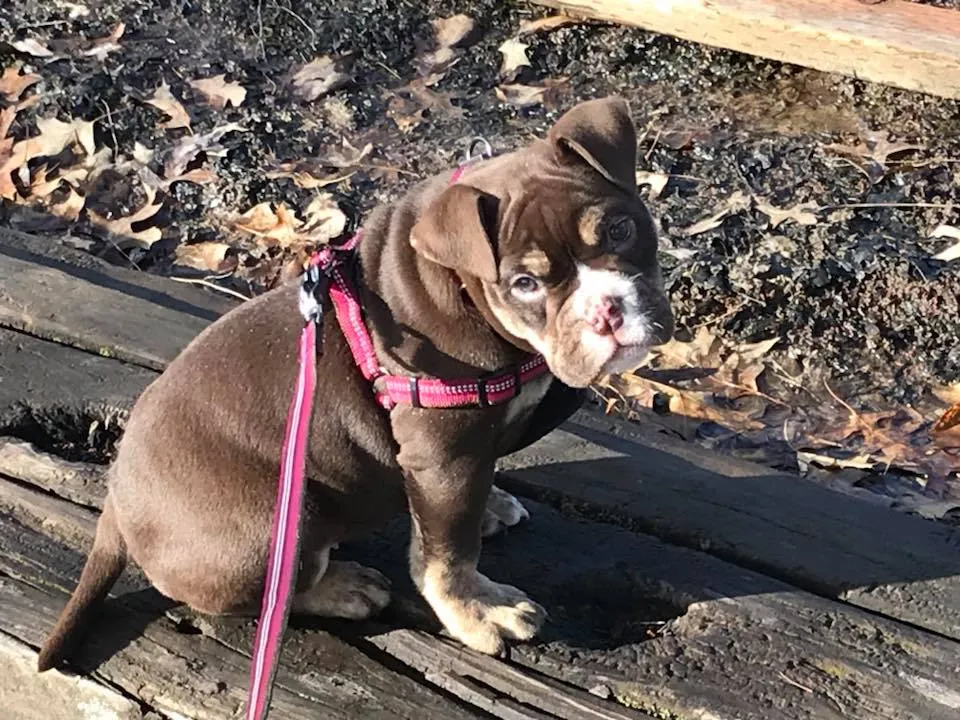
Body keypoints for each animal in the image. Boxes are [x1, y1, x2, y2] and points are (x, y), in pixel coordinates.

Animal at [39, 95, 676, 668]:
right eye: (525, 283)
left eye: (621, 229)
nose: (608, 312)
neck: (462, 290)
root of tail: (115, 513)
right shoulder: (443, 454)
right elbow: (447, 554)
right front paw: (478, 613)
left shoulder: (460, 457)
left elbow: (456, 512)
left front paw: (489, 505)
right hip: (279, 526)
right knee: (265, 596)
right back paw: (344, 588)